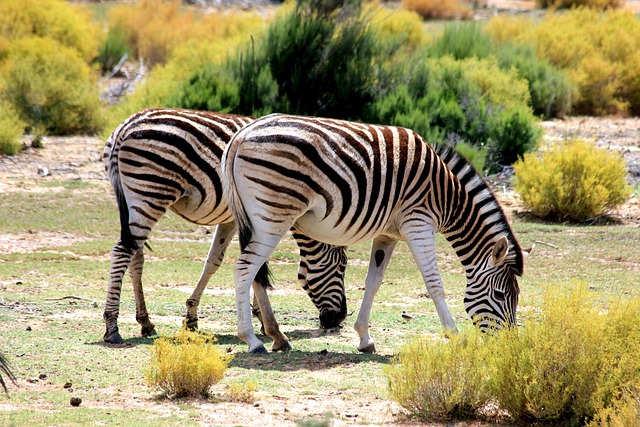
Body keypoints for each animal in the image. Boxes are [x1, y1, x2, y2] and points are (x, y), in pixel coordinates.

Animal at [102, 108, 348, 352]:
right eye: (342, 266)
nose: (340, 319)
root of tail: (125, 126)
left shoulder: (234, 220)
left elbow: (215, 261)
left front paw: (192, 317)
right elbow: (255, 267)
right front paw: (263, 321)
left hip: (135, 200)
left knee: (135, 256)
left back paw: (145, 322)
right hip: (151, 192)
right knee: (122, 252)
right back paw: (112, 327)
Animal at [222, 113, 532, 354]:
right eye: (501, 295)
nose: (508, 345)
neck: (448, 197)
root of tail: (241, 135)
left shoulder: (388, 234)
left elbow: (373, 281)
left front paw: (364, 338)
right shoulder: (419, 222)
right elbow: (434, 283)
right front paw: (455, 335)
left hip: (259, 219)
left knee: (255, 273)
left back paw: (276, 337)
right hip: (275, 215)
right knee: (243, 269)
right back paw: (252, 341)